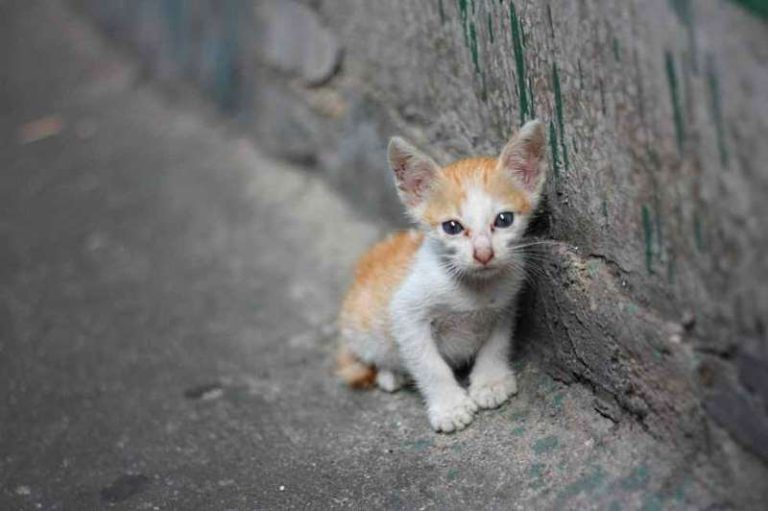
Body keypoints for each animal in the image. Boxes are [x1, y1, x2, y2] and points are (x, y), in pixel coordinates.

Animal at [336, 119, 544, 432]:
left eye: (504, 220)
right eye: (452, 227)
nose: (484, 254)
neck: (474, 287)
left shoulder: (506, 302)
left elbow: (497, 343)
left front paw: (490, 381)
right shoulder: (405, 313)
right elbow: (429, 364)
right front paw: (450, 406)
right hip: (361, 328)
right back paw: (390, 374)